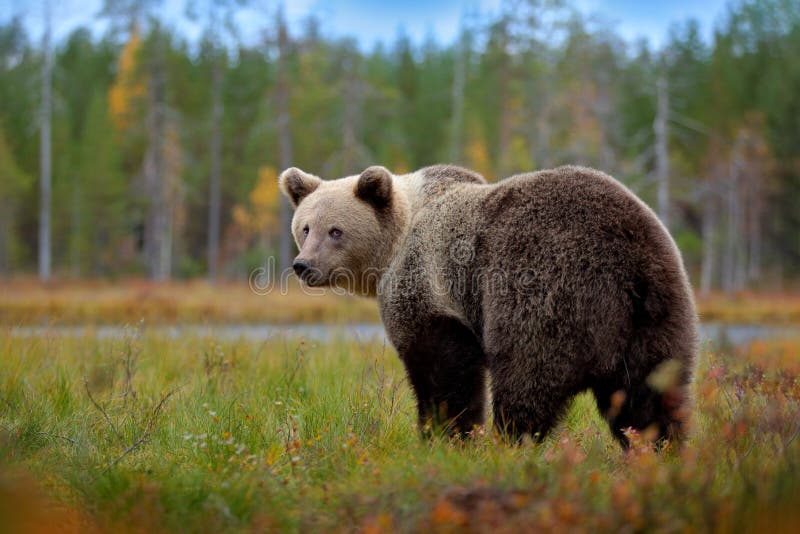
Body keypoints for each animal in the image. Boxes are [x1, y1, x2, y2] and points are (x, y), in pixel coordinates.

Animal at [278, 164, 696, 448]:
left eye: (335, 230)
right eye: (305, 227)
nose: (303, 265)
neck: (394, 245)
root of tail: (627, 261)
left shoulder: (430, 284)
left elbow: (442, 372)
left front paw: (443, 435)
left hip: (544, 290)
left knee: (527, 377)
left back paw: (509, 442)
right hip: (657, 310)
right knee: (650, 391)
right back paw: (656, 448)